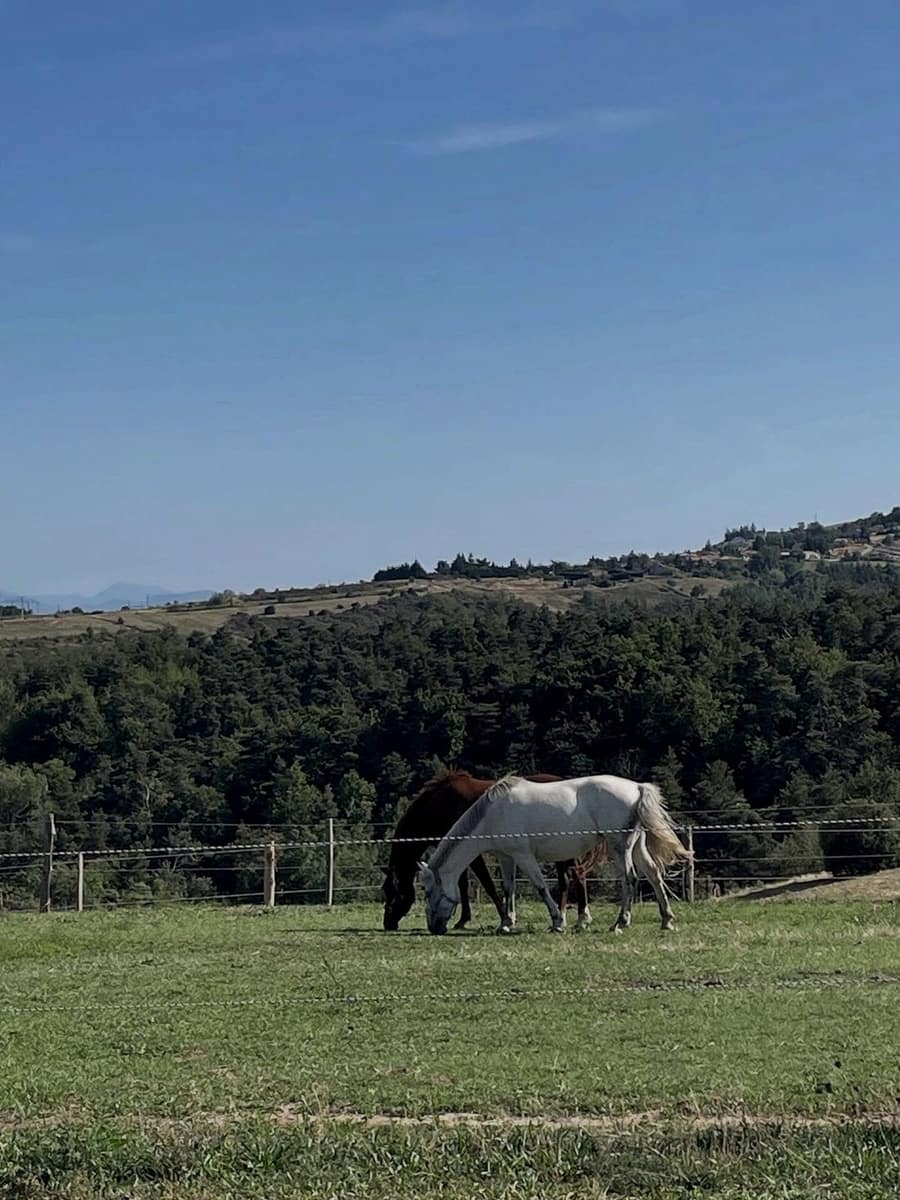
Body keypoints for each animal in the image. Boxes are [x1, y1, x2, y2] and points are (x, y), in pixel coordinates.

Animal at [381, 771, 606, 932]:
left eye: (393, 891)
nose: (388, 923)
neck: (440, 803)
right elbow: (486, 886)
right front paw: (495, 920)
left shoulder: (482, 855)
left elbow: (486, 884)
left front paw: (496, 917)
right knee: (570, 878)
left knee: (577, 876)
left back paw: (579, 920)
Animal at [418, 774, 692, 936]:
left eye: (429, 892)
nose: (434, 928)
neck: (493, 815)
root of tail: (637, 788)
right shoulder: (507, 857)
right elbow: (508, 889)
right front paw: (505, 923)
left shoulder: (524, 856)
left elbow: (540, 887)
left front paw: (557, 921)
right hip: (636, 847)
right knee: (654, 875)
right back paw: (666, 919)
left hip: (620, 848)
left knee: (630, 879)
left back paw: (620, 923)